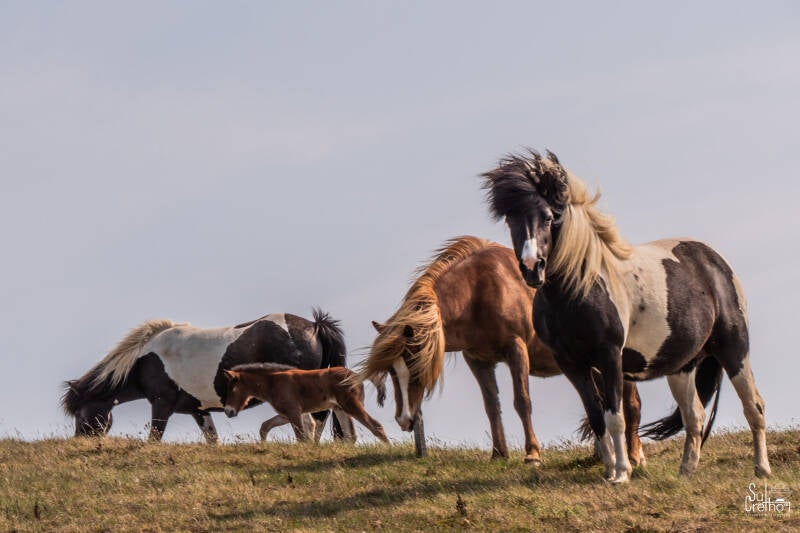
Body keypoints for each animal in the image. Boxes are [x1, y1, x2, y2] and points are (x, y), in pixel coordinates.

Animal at [62, 309, 353, 443]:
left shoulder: (161, 404)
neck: (147, 359)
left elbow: (154, 437)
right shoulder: (198, 410)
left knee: (309, 424)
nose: (79, 443)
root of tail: (314, 325)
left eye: (80, 414)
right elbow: (212, 439)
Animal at [222, 363, 390, 443]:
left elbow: (301, 437)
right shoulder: (285, 414)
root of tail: (357, 376)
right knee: (350, 436)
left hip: (351, 405)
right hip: (340, 409)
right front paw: (263, 446)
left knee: (376, 426)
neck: (273, 381)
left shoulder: (294, 412)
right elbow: (265, 427)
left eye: (232, 388)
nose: (228, 411)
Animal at [357, 236, 646, 465]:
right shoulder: (477, 360)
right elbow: (491, 406)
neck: (478, 291)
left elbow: (522, 401)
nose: (404, 419)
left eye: (416, 368)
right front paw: (498, 453)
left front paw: (532, 454)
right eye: (392, 373)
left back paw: (634, 456)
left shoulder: (516, 349)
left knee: (629, 402)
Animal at [482, 150, 771, 482]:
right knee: (694, 417)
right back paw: (686, 470)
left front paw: (622, 472)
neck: (581, 287)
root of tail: (714, 261)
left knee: (754, 407)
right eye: (511, 219)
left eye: (549, 217)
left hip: (733, 348)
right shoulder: (572, 365)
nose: (532, 268)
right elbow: (596, 417)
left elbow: (615, 416)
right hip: (681, 366)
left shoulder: (609, 356)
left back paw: (762, 468)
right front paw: (609, 470)